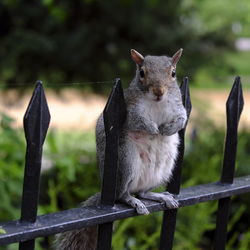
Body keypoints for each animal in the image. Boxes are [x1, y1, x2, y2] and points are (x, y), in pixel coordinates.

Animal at [55, 48, 188, 250]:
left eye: (173, 73)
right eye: (142, 73)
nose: (159, 92)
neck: (157, 103)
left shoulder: (177, 106)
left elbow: (182, 119)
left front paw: (167, 130)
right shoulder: (129, 110)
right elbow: (137, 121)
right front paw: (153, 129)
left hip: (164, 169)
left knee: (143, 192)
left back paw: (159, 196)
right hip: (126, 161)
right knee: (122, 195)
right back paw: (132, 200)